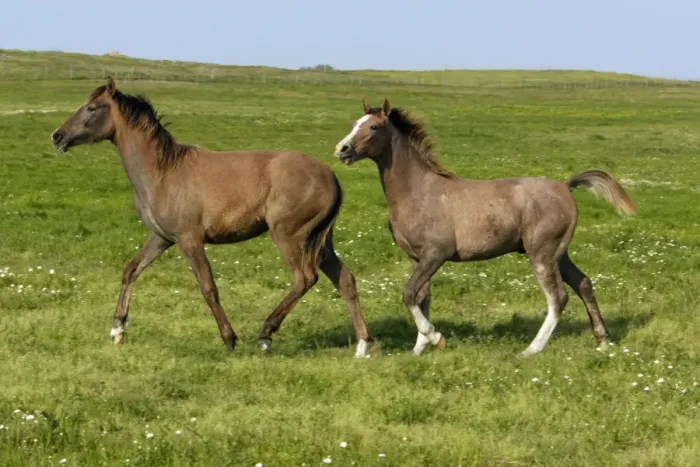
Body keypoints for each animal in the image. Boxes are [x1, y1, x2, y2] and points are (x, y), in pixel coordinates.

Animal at [50, 77, 371, 357]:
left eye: (92, 107)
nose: (57, 136)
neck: (163, 172)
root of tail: (331, 177)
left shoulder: (190, 240)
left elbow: (208, 288)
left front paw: (229, 339)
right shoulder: (162, 237)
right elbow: (131, 270)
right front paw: (117, 330)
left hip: (289, 236)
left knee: (304, 278)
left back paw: (265, 334)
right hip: (321, 241)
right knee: (345, 280)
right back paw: (362, 345)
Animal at [334, 98, 636, 357]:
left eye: (373, 127)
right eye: (355, 123)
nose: (341, 150)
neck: (419, 191)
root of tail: (565, 186)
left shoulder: (436, 254)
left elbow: (409, 294)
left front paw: (435, 337)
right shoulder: (416, 257)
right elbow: (422, 297)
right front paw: (419, 349)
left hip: (542, 254)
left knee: (558, 297)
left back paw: (532, 349)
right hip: (559, 254)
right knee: (583, 283)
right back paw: (602, 340)